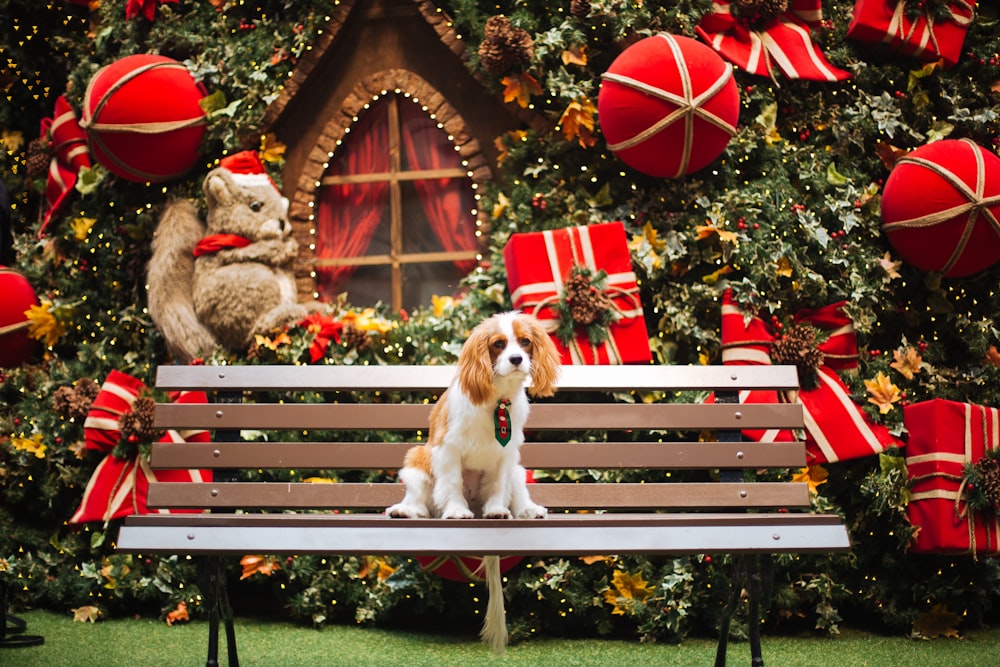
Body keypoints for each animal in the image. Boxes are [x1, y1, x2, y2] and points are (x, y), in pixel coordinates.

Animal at [384, 312, 560, 652]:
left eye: (525, 342)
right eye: (499, 344)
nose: (516, 359)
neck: (497, 400)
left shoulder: (507, 455)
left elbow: (498, 488)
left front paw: (497, 511)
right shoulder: (447, 449)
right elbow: (451, 485)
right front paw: (456, 512)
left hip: (518, 469)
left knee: (518, 492)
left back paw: (528, 510)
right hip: (417, 459)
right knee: (419, 496)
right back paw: (407, 510)